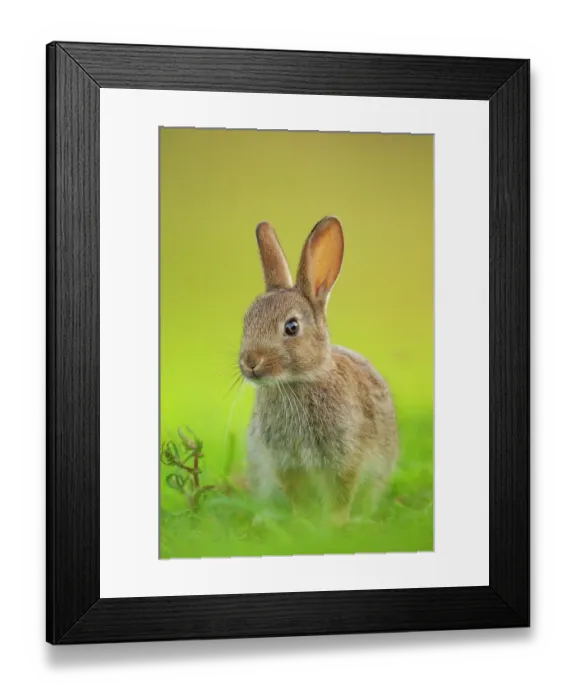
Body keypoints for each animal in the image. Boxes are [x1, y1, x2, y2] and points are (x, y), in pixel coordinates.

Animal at [238, 216, 399, 525]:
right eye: (246, 322)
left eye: (291, 327)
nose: (250, 362)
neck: (298, 381)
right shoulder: (285, 462)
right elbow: (297, 496)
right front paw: (302, 521)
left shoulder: (345, 456)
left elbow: (341, 493)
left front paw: (335, 524)